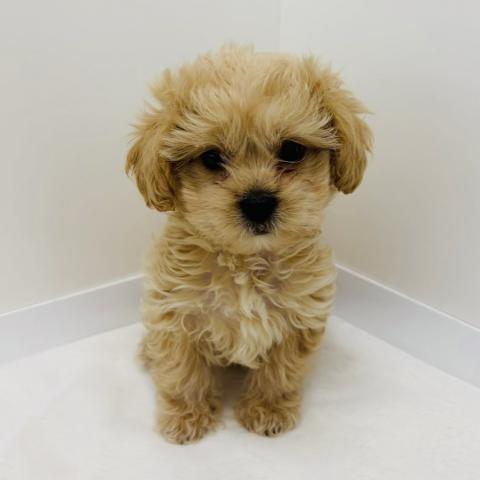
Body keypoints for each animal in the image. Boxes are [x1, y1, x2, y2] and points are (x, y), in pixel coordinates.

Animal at [126, 45, 372, 444]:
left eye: (292, 150)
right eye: (211, 157)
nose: (258, 203)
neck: (245, 262)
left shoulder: (299, 316)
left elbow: (280, 371)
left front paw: (267, 410)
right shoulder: (175, 312)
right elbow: (182, 370)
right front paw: (187, 417)